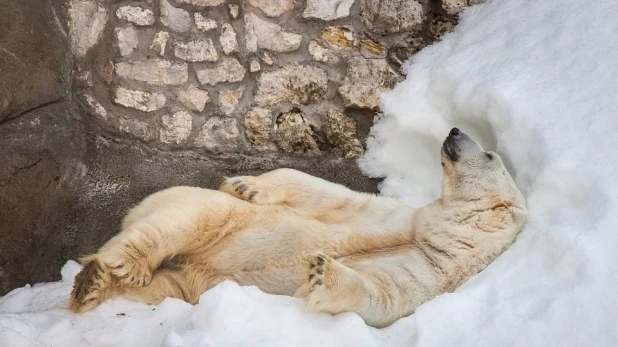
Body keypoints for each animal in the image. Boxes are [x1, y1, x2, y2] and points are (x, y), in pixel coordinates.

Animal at [71, 128, 524, 328]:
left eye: (488, 154)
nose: (454, 130)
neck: (441, 236)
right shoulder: (401, 218)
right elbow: (328, 195)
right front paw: (248, 184)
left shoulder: (431, 276)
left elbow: (380, 297)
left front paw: (322, 273)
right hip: (209, 217)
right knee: (188, 219)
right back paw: (117, 266)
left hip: (192, 284)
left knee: (164, 286)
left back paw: (94, 284)